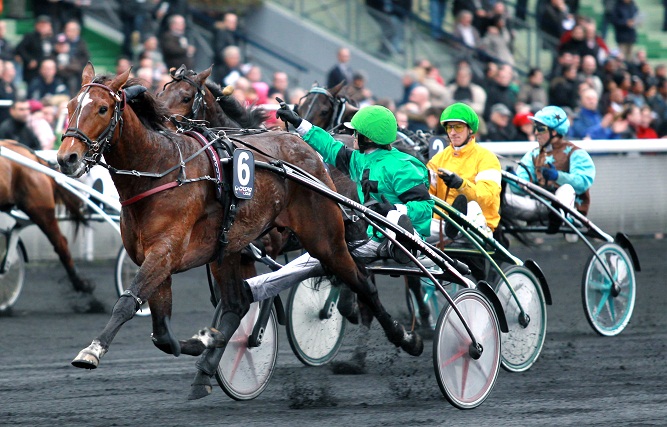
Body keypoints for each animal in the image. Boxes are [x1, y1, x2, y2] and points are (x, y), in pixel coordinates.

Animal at [58, 63, 422, 398]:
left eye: (102, 108)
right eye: (71, 104)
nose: (67, 158)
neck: (160, 168)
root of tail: (305, 148)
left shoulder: (165, 253)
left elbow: (127, 302)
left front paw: (91, 351)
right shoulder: (161, 259)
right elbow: (161, 332)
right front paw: (205, 339)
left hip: (325, 239)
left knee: (363, 283)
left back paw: (406, 338)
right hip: (230, 248)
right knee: (237, 303)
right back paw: (207, 367)